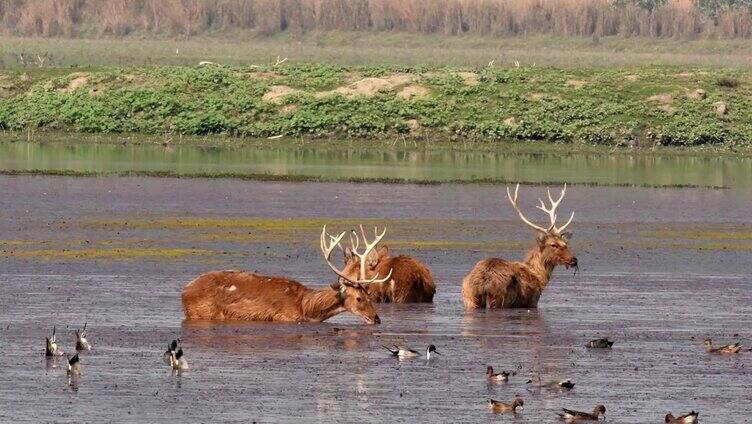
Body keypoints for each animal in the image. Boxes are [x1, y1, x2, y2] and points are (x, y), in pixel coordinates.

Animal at [182, 225, 394, 324]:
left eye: (369, 295)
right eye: (359, 298)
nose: (377, 319)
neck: (305, 306)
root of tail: (184, 292)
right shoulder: (284, 317)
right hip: (200, 312)